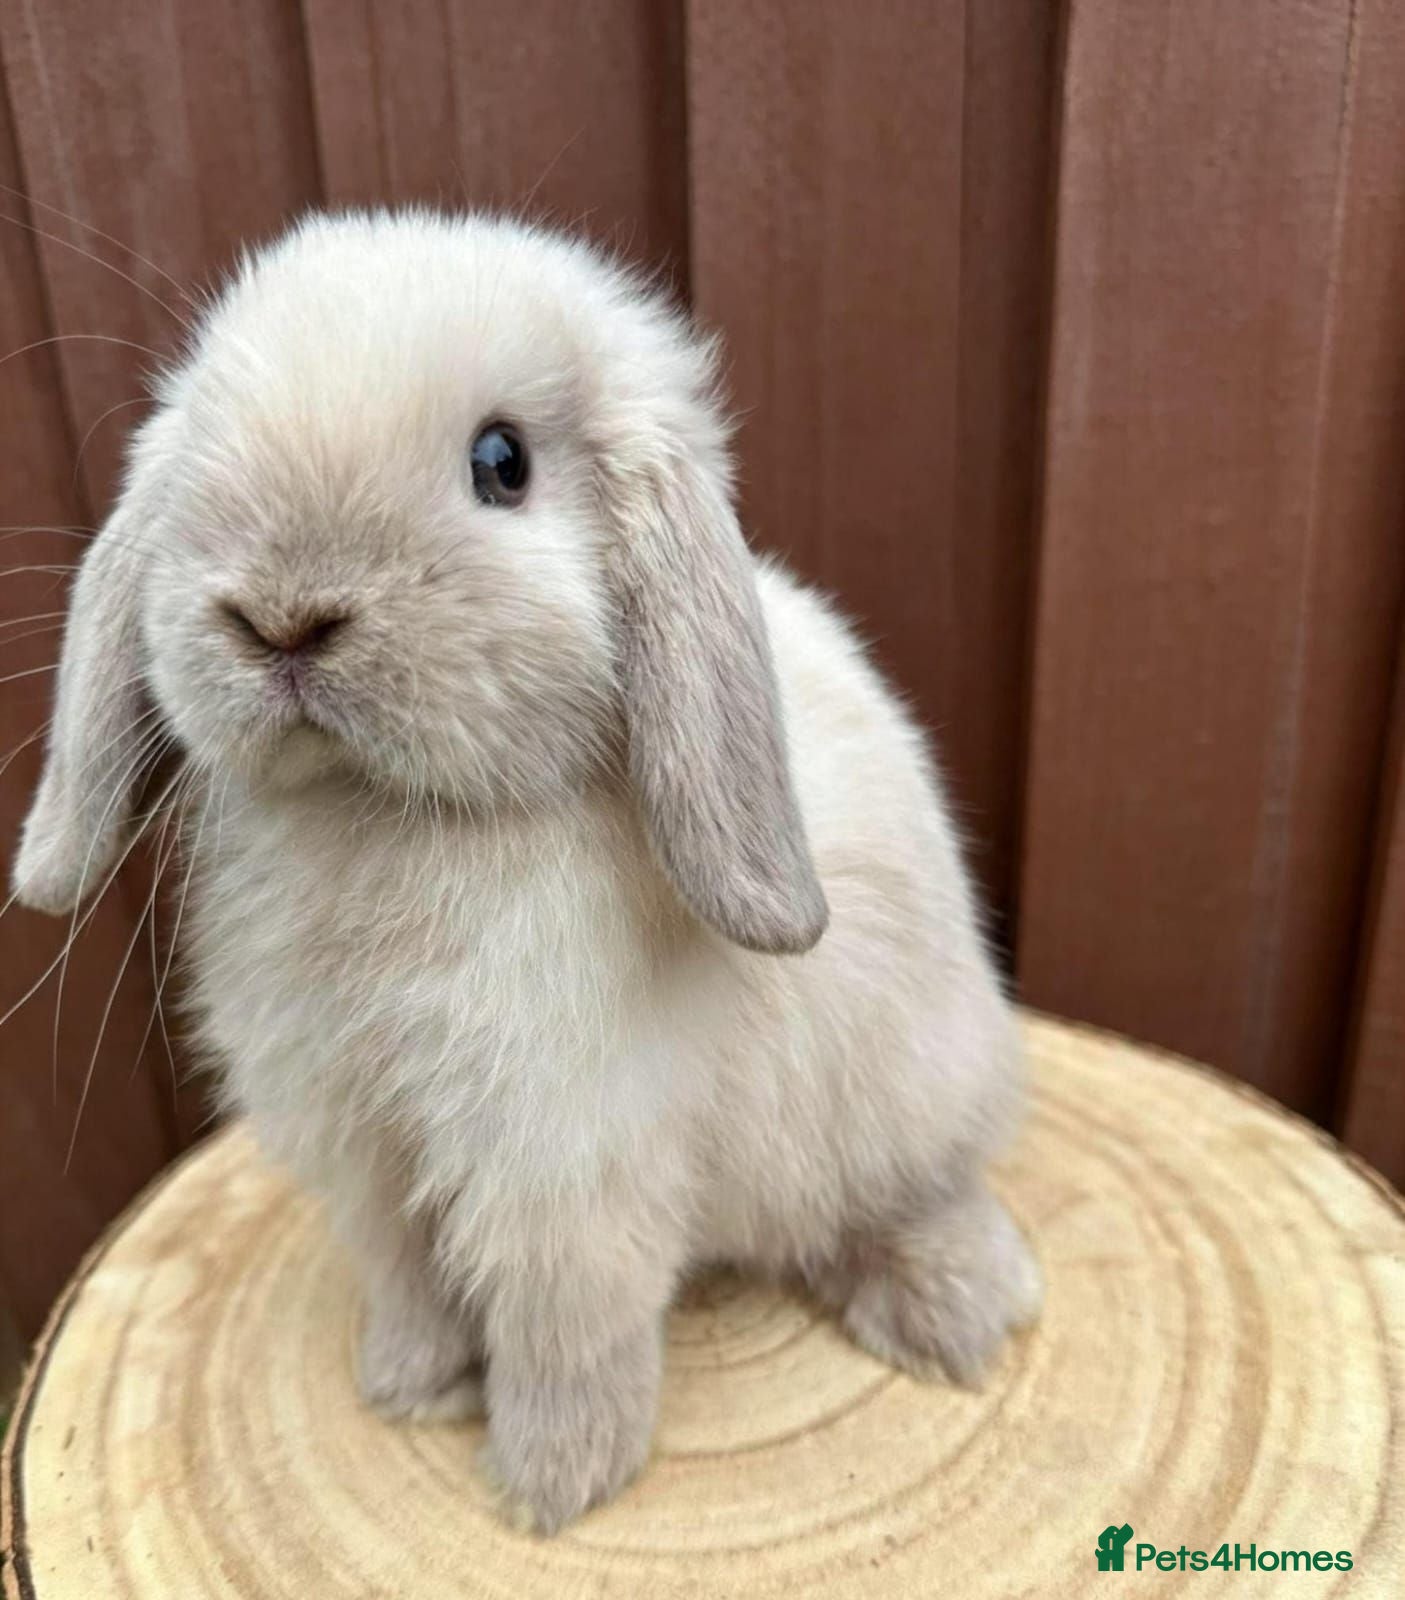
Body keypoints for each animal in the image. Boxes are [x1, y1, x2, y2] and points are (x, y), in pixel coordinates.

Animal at [13, 209, 1040, 1532]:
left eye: (502, 462)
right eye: (197, 442)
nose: (282, 618)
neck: (388, 814)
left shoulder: (561, 1168)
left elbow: (566, 1331)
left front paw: (553, 1485)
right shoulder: (367, 1152)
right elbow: (408, 1276)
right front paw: (407, 1386)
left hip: (912, 1097)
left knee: (930, 1196)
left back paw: (955, 1312)